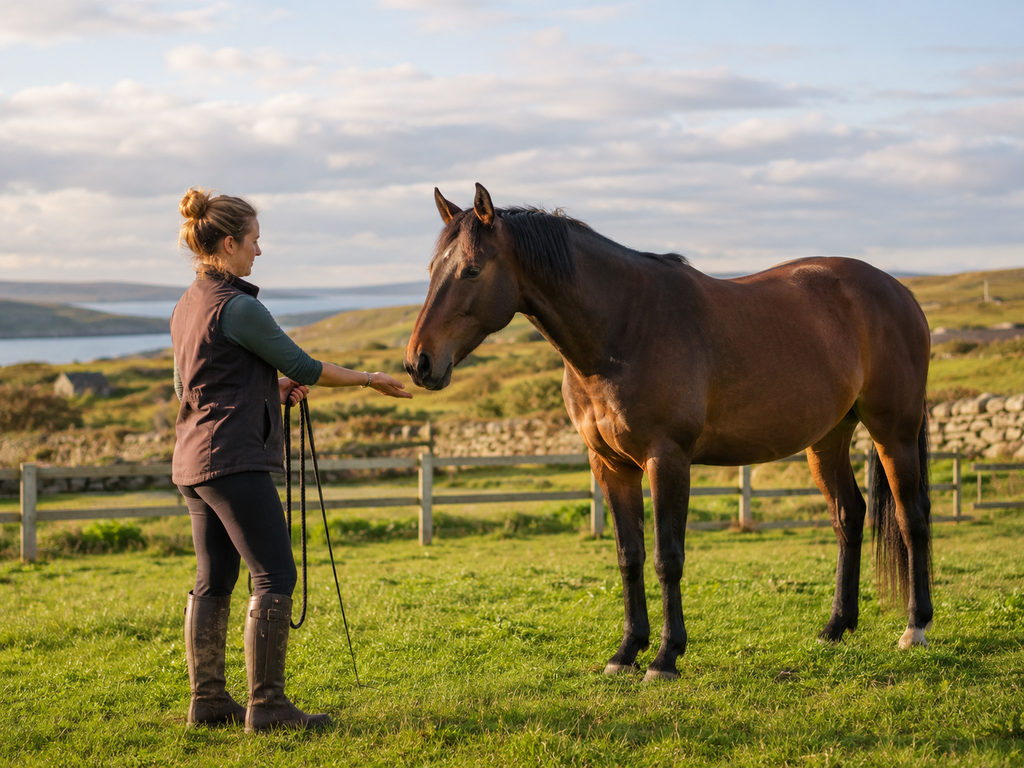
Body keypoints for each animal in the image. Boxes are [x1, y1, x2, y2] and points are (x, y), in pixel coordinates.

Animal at [405, 183, 933, 681]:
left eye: (472, 269)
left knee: (912, 518)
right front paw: (626, 651)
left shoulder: (668, 459)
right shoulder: (611, 465)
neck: (621, 329)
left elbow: (667, 557)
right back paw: (835, 627)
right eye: (431, 268)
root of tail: (899, 292)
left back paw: (916, 627)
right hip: (827, 439)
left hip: (893, 433)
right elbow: (629, 555)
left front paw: (665, 656)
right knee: (849, 515)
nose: (419, 363)